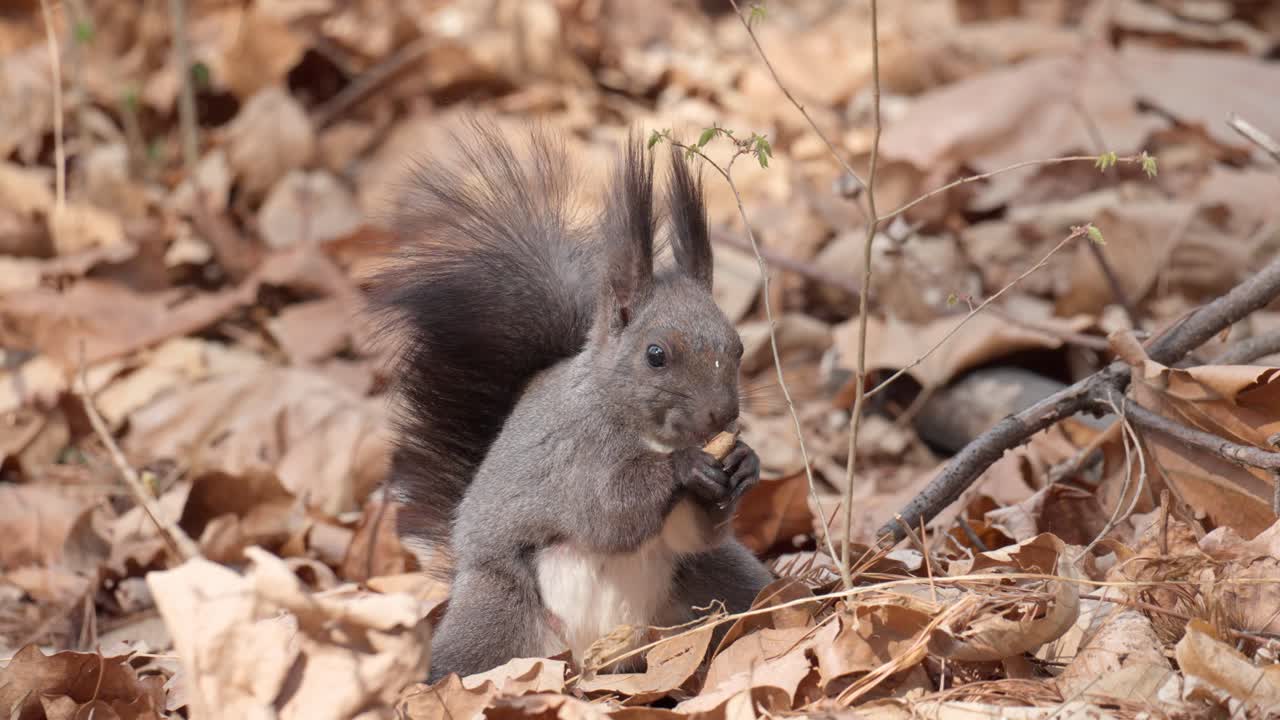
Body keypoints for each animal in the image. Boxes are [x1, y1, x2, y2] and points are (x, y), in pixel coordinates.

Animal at [369, 118, 775, 681]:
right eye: (655, 355)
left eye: (737, 347)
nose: (724, 415)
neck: (645, 429)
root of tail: (595, 659)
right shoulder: (573, 454)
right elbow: (605, 512)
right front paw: (686, 466)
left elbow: (694, 535)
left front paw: (743, 462)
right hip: (498, 611)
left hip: (721, 583)